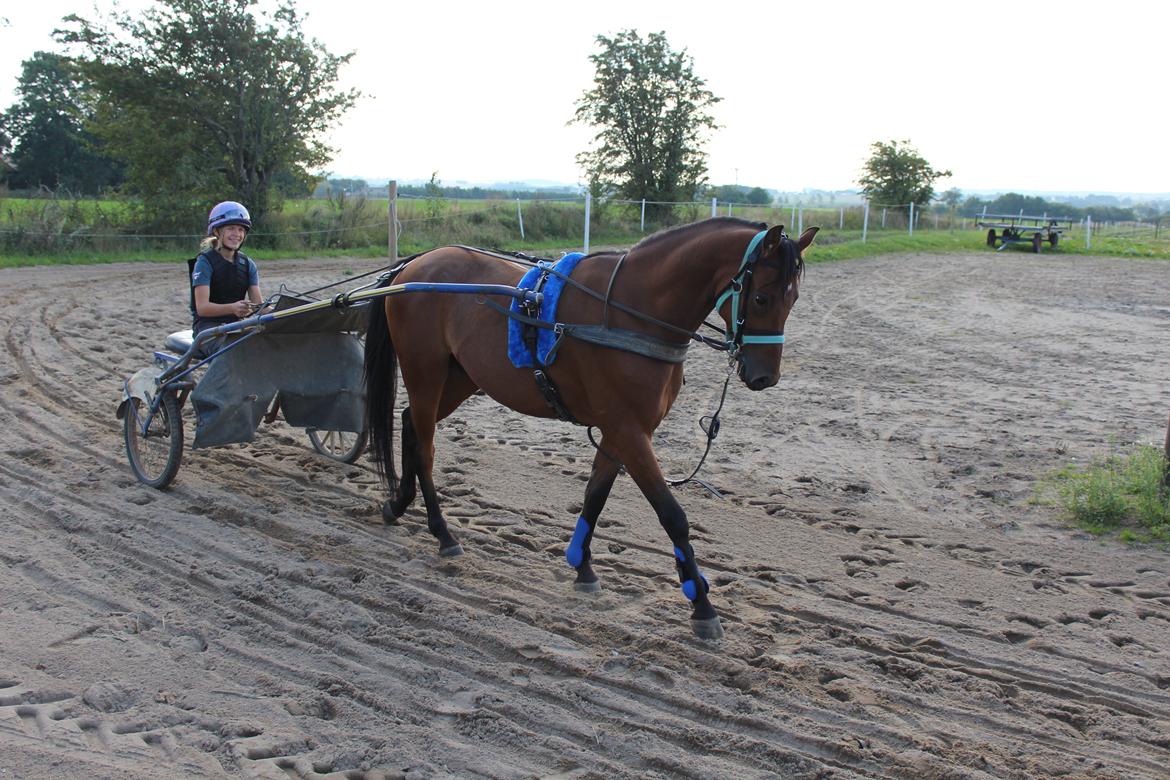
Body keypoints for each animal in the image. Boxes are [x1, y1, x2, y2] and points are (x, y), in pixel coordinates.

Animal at [362, 216, 814, 636]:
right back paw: (442, 533)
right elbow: (672, 515)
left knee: (409, 423)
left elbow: (595, 496)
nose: (765, 377)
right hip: (426, 372)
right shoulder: (630, 431)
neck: (630, 312)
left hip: (460, 378)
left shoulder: (618, 430)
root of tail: (413, 265)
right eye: (761, 297)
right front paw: (701, 604)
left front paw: (582, 566)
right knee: (424, 447)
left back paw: (398, 503)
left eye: (793, 299)